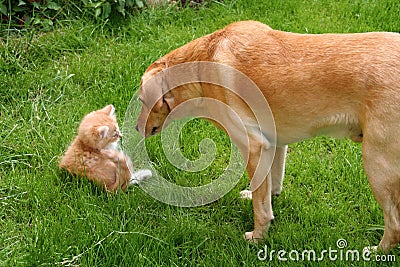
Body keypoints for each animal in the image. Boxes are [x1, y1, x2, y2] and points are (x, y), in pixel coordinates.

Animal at [137, 19, 400, 252]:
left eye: (141, 101)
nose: (137, 128)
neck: (202, 65)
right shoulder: (273, 143)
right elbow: (270, 184)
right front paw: (266, 198)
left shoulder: (254, 146)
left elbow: (260, 207)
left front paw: (258, 237)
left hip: (376, 164)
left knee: (394, 225)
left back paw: (376, 251)